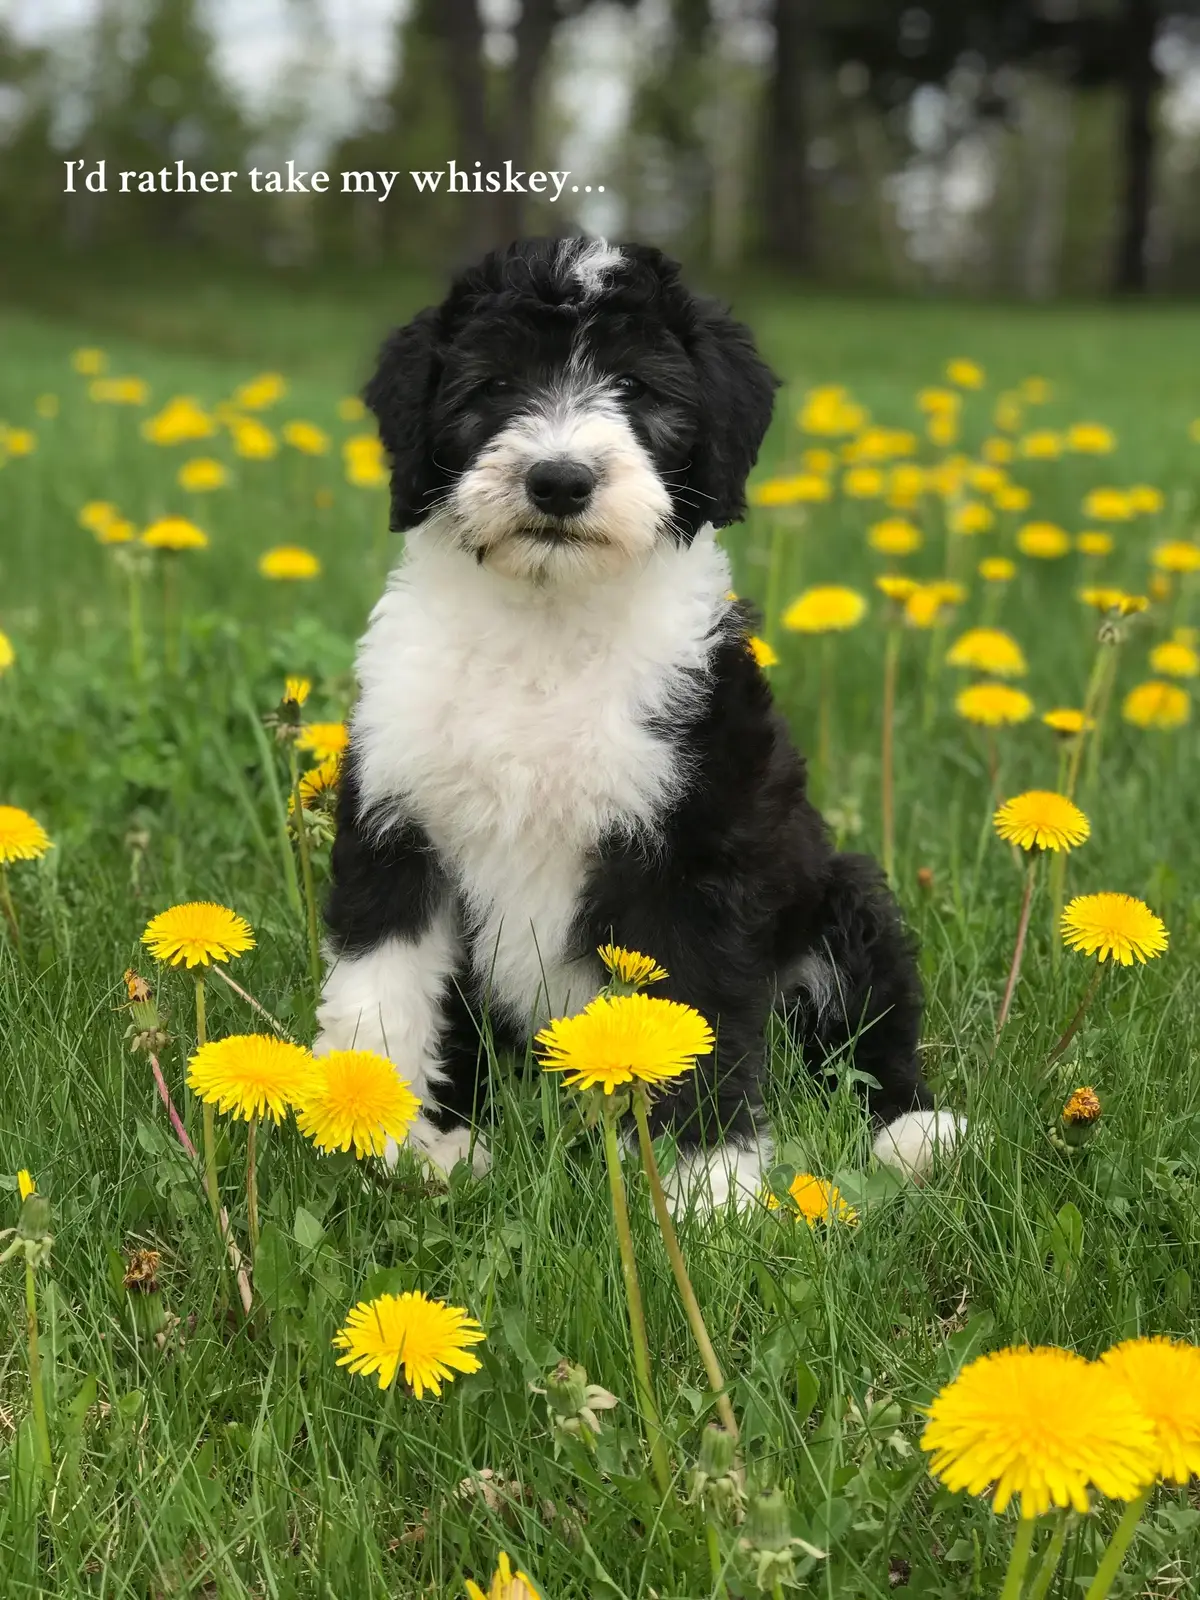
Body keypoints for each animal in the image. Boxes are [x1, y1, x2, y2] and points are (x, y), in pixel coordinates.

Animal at [315, 236, 966, 1203]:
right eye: (493, 386)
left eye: (638, 389)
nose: (559, 480)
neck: (547, 629)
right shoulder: (399, 826)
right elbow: (382, 994)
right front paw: (387, 1139)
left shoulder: (694, 856)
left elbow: (695, 1015)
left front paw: (708, 1185)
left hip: (839, 899)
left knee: (866, 1033)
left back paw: (914, 1132)